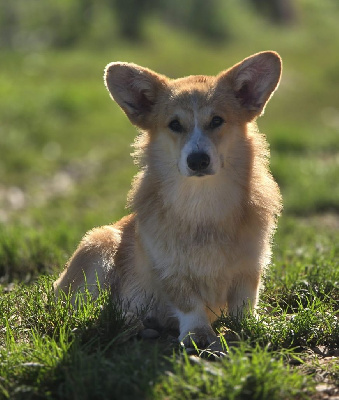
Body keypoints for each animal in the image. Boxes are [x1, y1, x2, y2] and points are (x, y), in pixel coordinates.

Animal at [53, 51, 282, 348]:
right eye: (175, 125)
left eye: (217, 121)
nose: (197, 160)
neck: (202, 200)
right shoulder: (170, 269)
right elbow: (188, 303)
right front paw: (198, 335)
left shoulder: (250, 265)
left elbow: (244, 303)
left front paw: (249, 327)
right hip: (100, 243)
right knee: (84, 309)